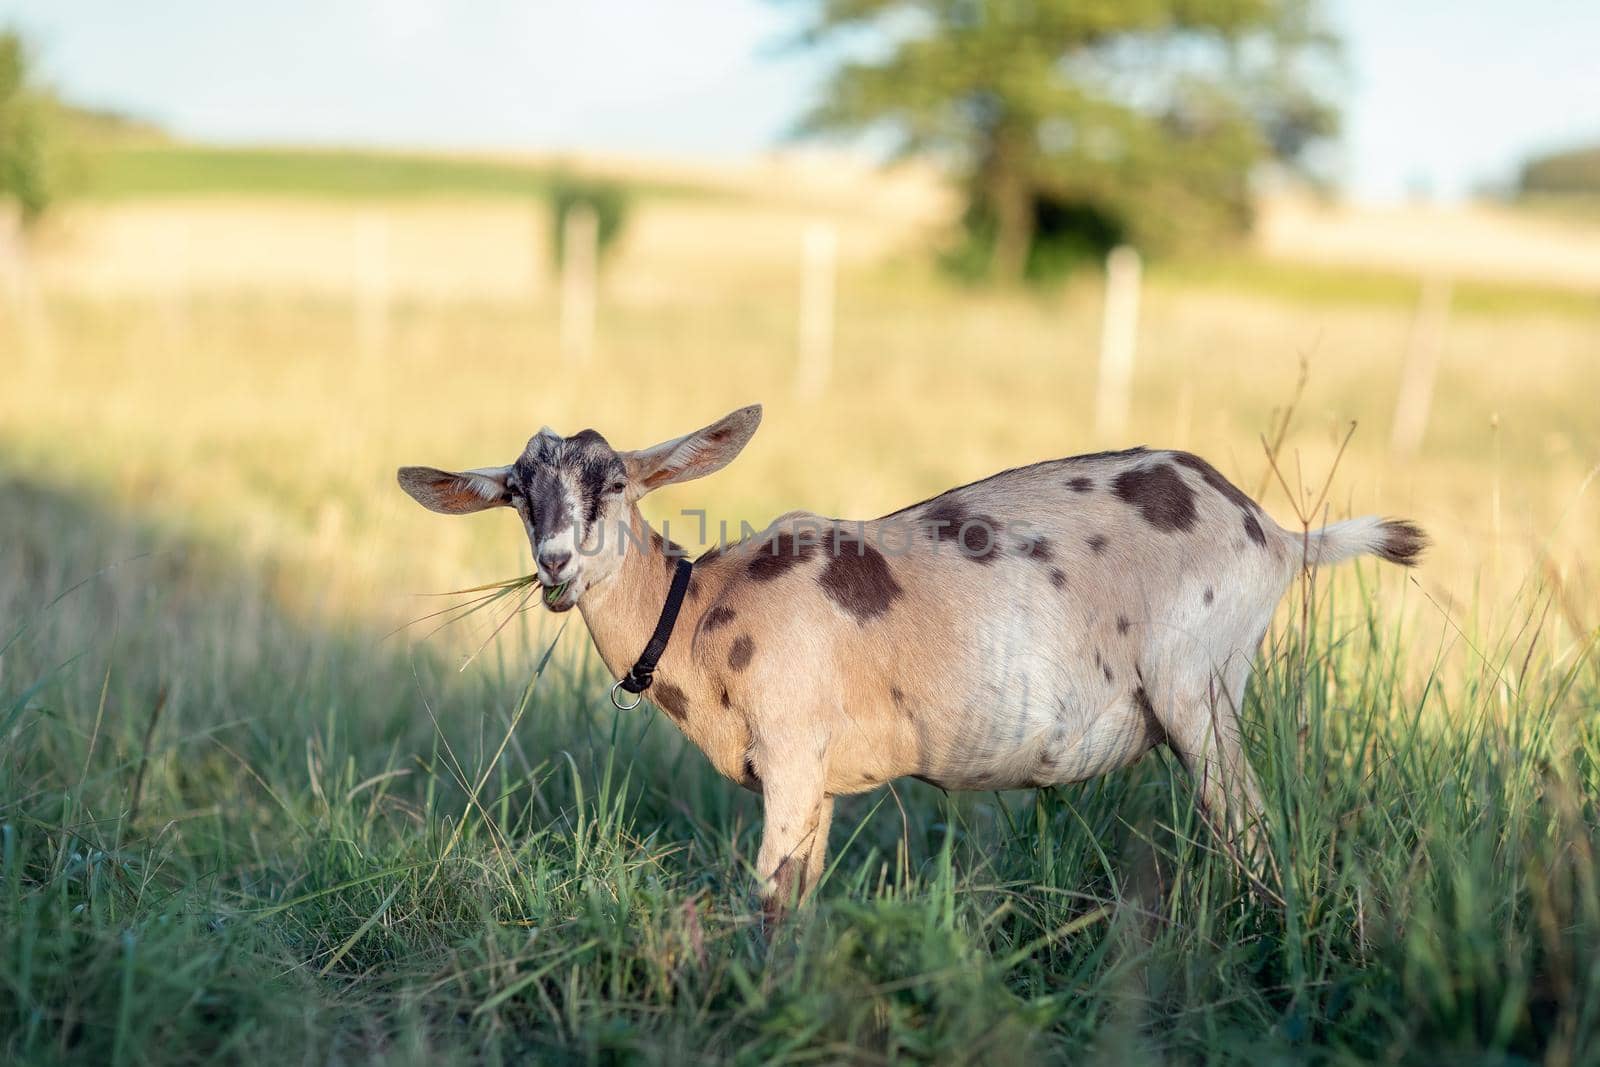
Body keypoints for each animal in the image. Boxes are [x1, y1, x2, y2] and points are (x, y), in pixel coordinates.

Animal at [400, 404, 1427, 921]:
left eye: (613, 481)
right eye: (516, 493)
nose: (554, 563)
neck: (696, 612)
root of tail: (1277, 535)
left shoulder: (791, 754)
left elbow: (767, 902)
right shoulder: (813, 783)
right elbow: (799, 899)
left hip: (1197, 692)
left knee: (1254, 835)